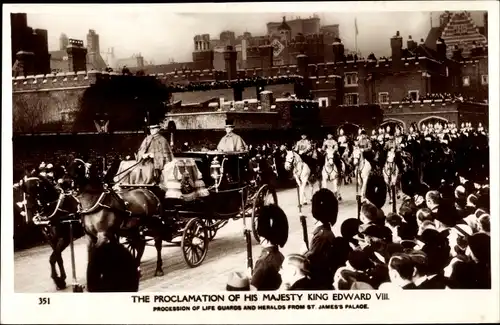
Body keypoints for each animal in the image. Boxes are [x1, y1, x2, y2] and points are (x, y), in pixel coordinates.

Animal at [64, 158, 164, 292]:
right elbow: (91, 255)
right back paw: (136, 269)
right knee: (140, 245)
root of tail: (148, 192)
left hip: (154, 225)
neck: (96, 204)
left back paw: (159, 269)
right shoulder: (90, 237)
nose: (63, 182)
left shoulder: (103, 235)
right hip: (132, 229)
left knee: (158, 244)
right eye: (67, 165)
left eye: (79, 166)